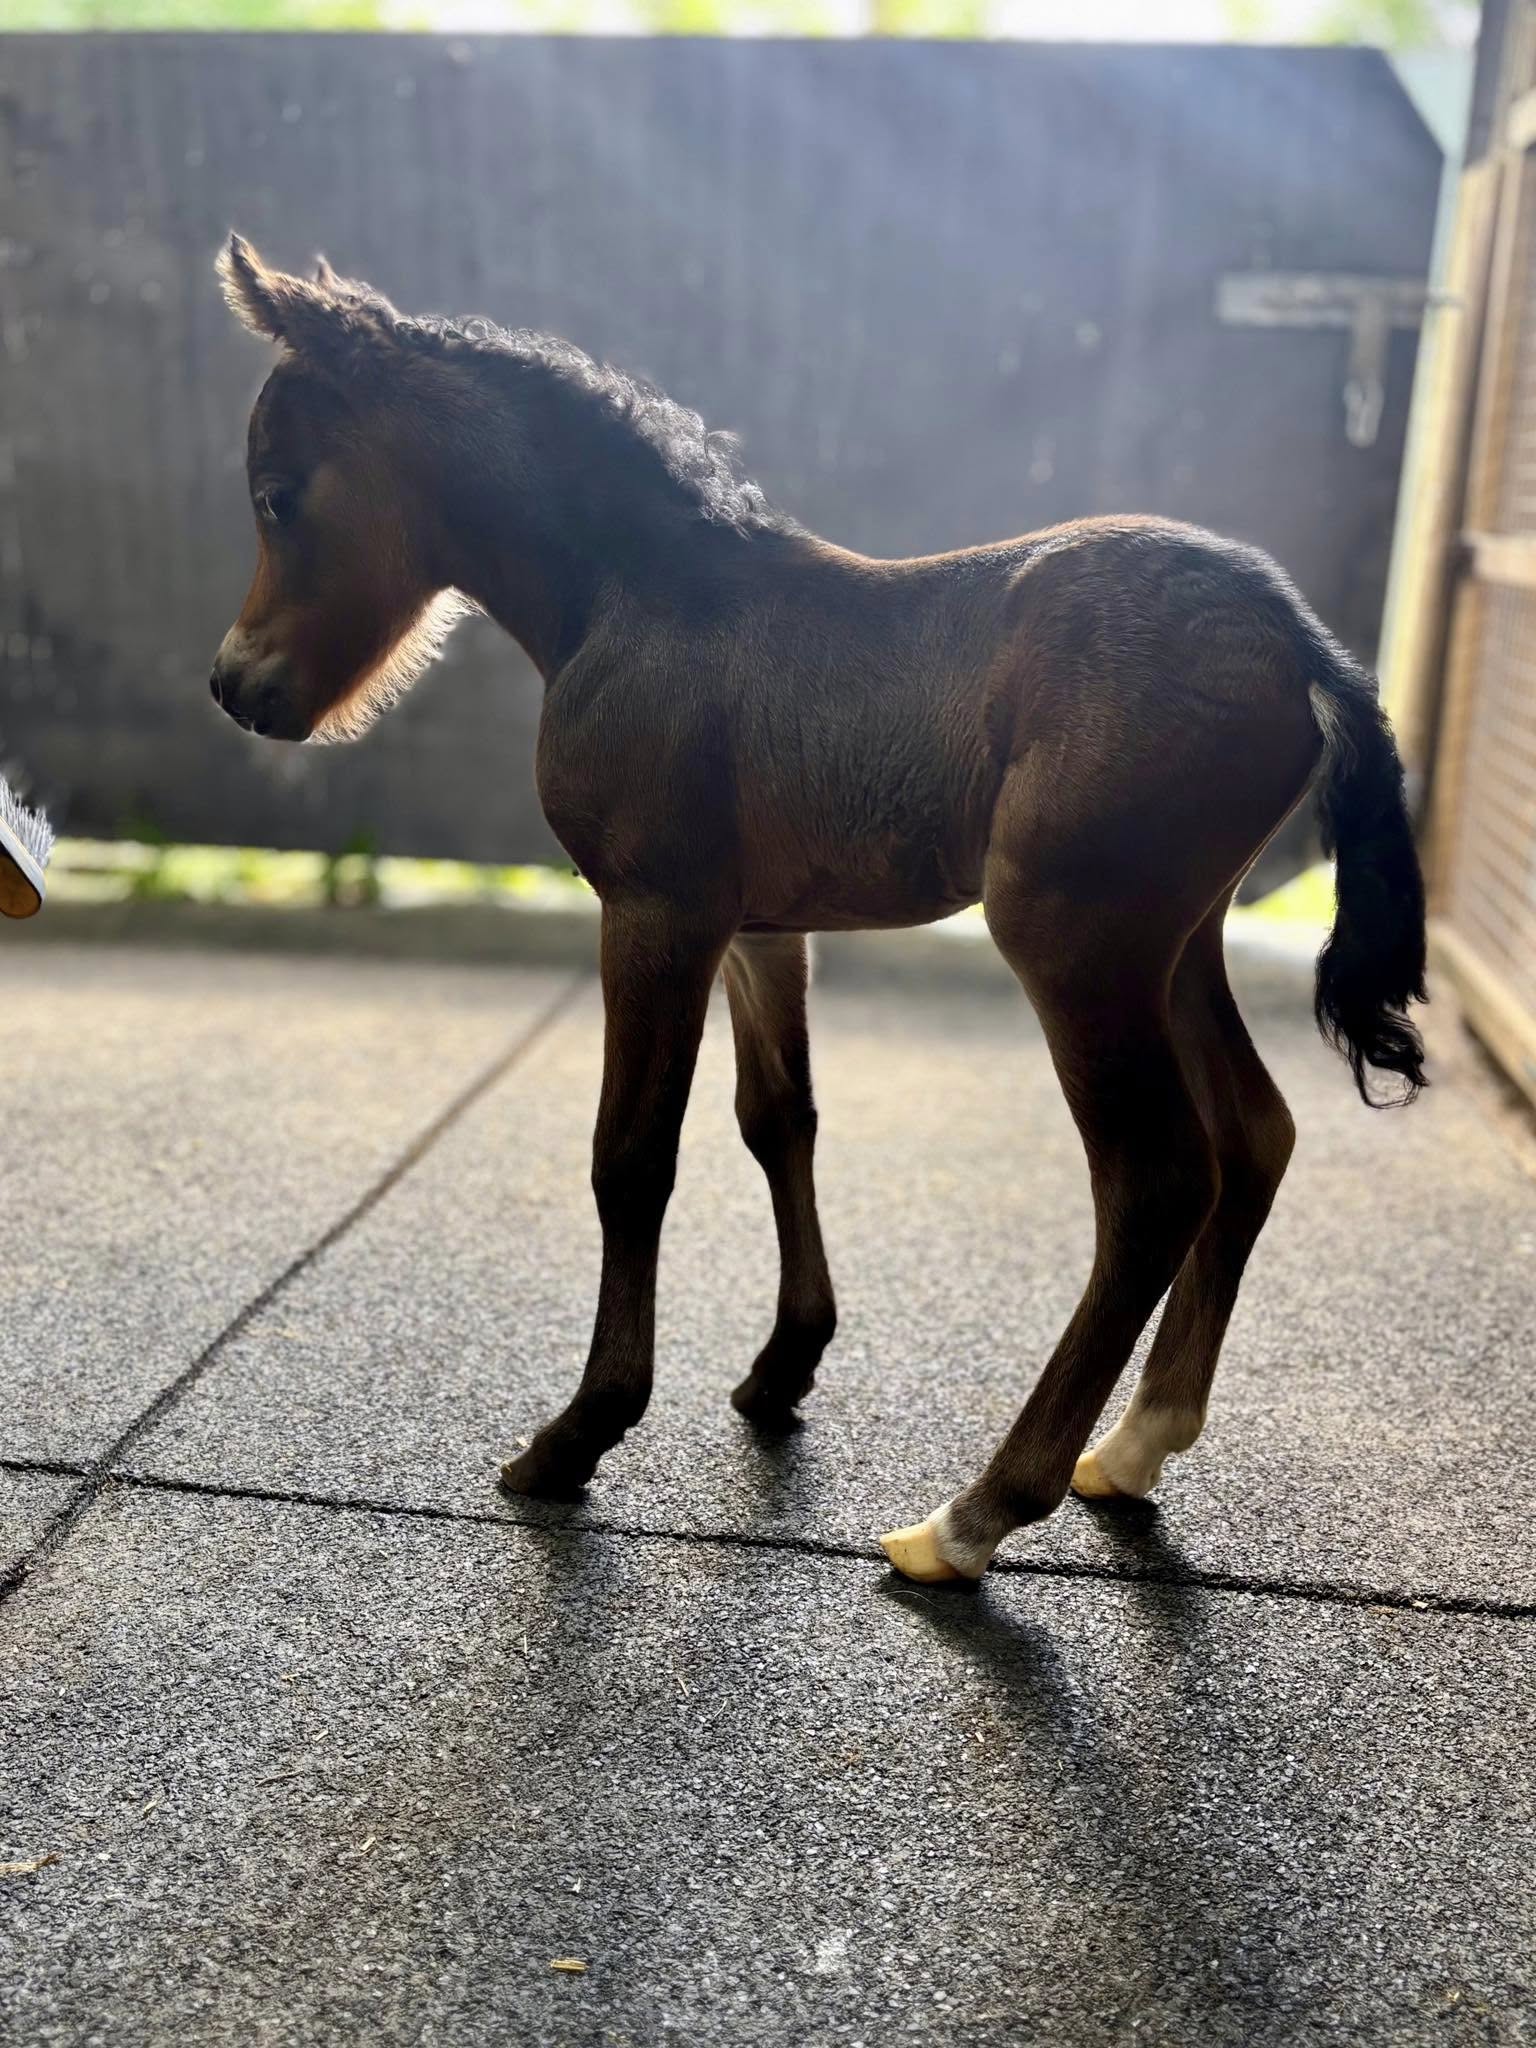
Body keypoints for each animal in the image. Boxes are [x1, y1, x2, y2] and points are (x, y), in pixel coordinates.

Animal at [210, 235, 1427, 1584]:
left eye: (277, 493)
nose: (235, 685)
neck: (642, 601)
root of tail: (1299, 638)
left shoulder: (656, 913)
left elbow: (632, 1156)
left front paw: (580, 1433)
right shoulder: (759, 925)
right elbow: (777, 1118)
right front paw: (783, 1365)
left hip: (1070, 936)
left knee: (1157, 1178)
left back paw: (975, 1514)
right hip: (1179, 941)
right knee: (1255, 1134)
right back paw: (1135, 1442)